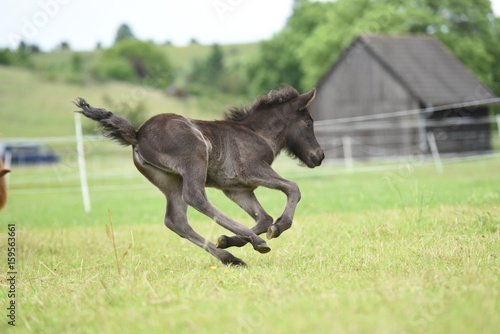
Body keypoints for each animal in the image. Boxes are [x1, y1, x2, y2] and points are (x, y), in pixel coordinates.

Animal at [74, 86, 324, 266]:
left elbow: (263, 218)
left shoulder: (237, 189)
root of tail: (137, 134)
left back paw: (231, 258)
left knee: (176, 220)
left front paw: (227, 241)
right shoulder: (252, 170)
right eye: (308, 122)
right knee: (196, 198)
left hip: (171, 182)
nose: (319, 156)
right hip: (194, 159)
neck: (256, 133)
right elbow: (292, 189)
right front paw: (278, 228)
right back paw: (254, 242)